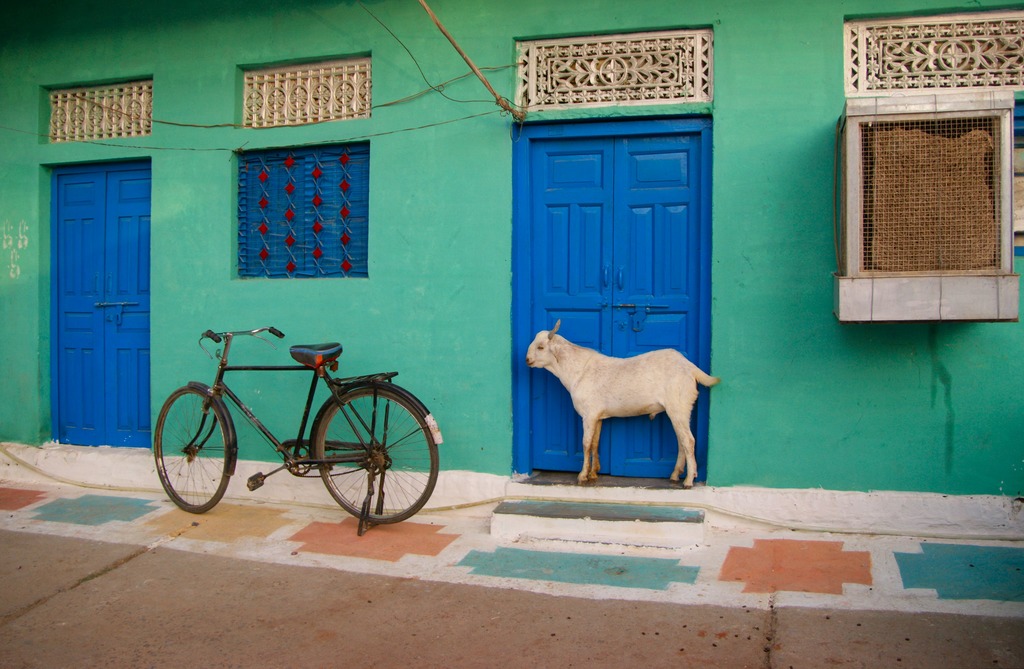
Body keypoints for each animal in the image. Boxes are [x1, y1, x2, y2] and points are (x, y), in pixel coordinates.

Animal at [528, 317, 720, 485]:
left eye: (541, 347)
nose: (527, 359)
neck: (578, 370)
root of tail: (689, 367)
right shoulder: (598, 416)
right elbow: (595, 443)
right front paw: (593, 473)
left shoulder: (589, 414)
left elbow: (586, 443)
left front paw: (582, 476)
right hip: (680, 410)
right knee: (682, 441)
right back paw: (675, 475)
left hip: (678, 406)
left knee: (688, 440)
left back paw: (688, 480)